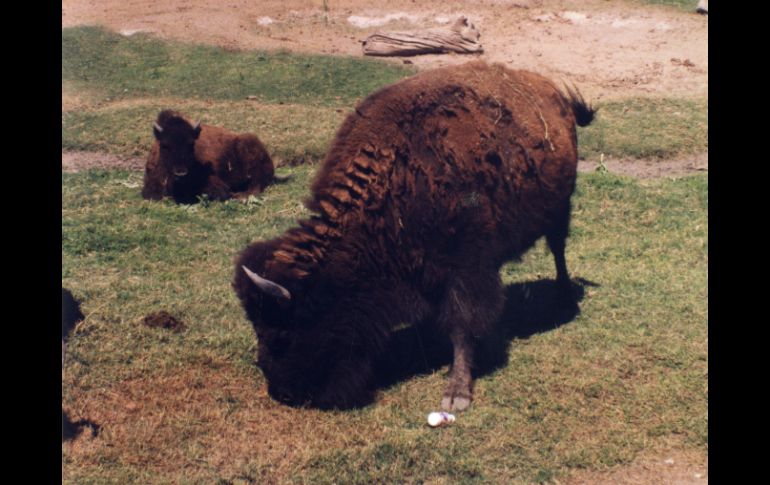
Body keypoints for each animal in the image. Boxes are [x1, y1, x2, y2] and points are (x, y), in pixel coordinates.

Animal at [231, 59, 592, 408]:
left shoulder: (467, 269)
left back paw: (563, 295)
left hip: (560, 209)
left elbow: (463, 325)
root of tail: (554, 93)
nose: (282, 392)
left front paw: (457, 393)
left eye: (282, 334)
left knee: (558, 249)